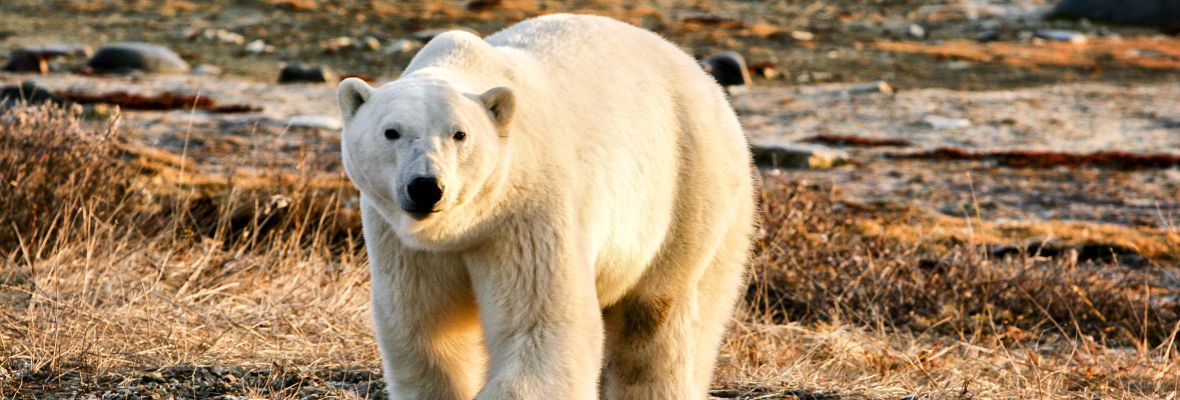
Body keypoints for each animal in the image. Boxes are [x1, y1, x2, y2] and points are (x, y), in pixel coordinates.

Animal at [335, 13, 755, 400]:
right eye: (391, 132)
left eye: (460, 134)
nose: (425, 187)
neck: (464, 226)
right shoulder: (403, 241)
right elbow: (426, 328)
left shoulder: (527, 213)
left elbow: (540, 326)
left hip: (690, 190)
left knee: (659, 319)